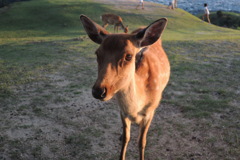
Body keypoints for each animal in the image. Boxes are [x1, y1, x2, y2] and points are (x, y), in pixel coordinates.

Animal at [80, 14, 171, 160]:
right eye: (97, 53)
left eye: (128, 56)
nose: (98, 91)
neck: (135, 109)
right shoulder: (122, 111)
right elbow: (126, 139)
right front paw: (122, 138)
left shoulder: (150, 111)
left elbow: (141, 142)